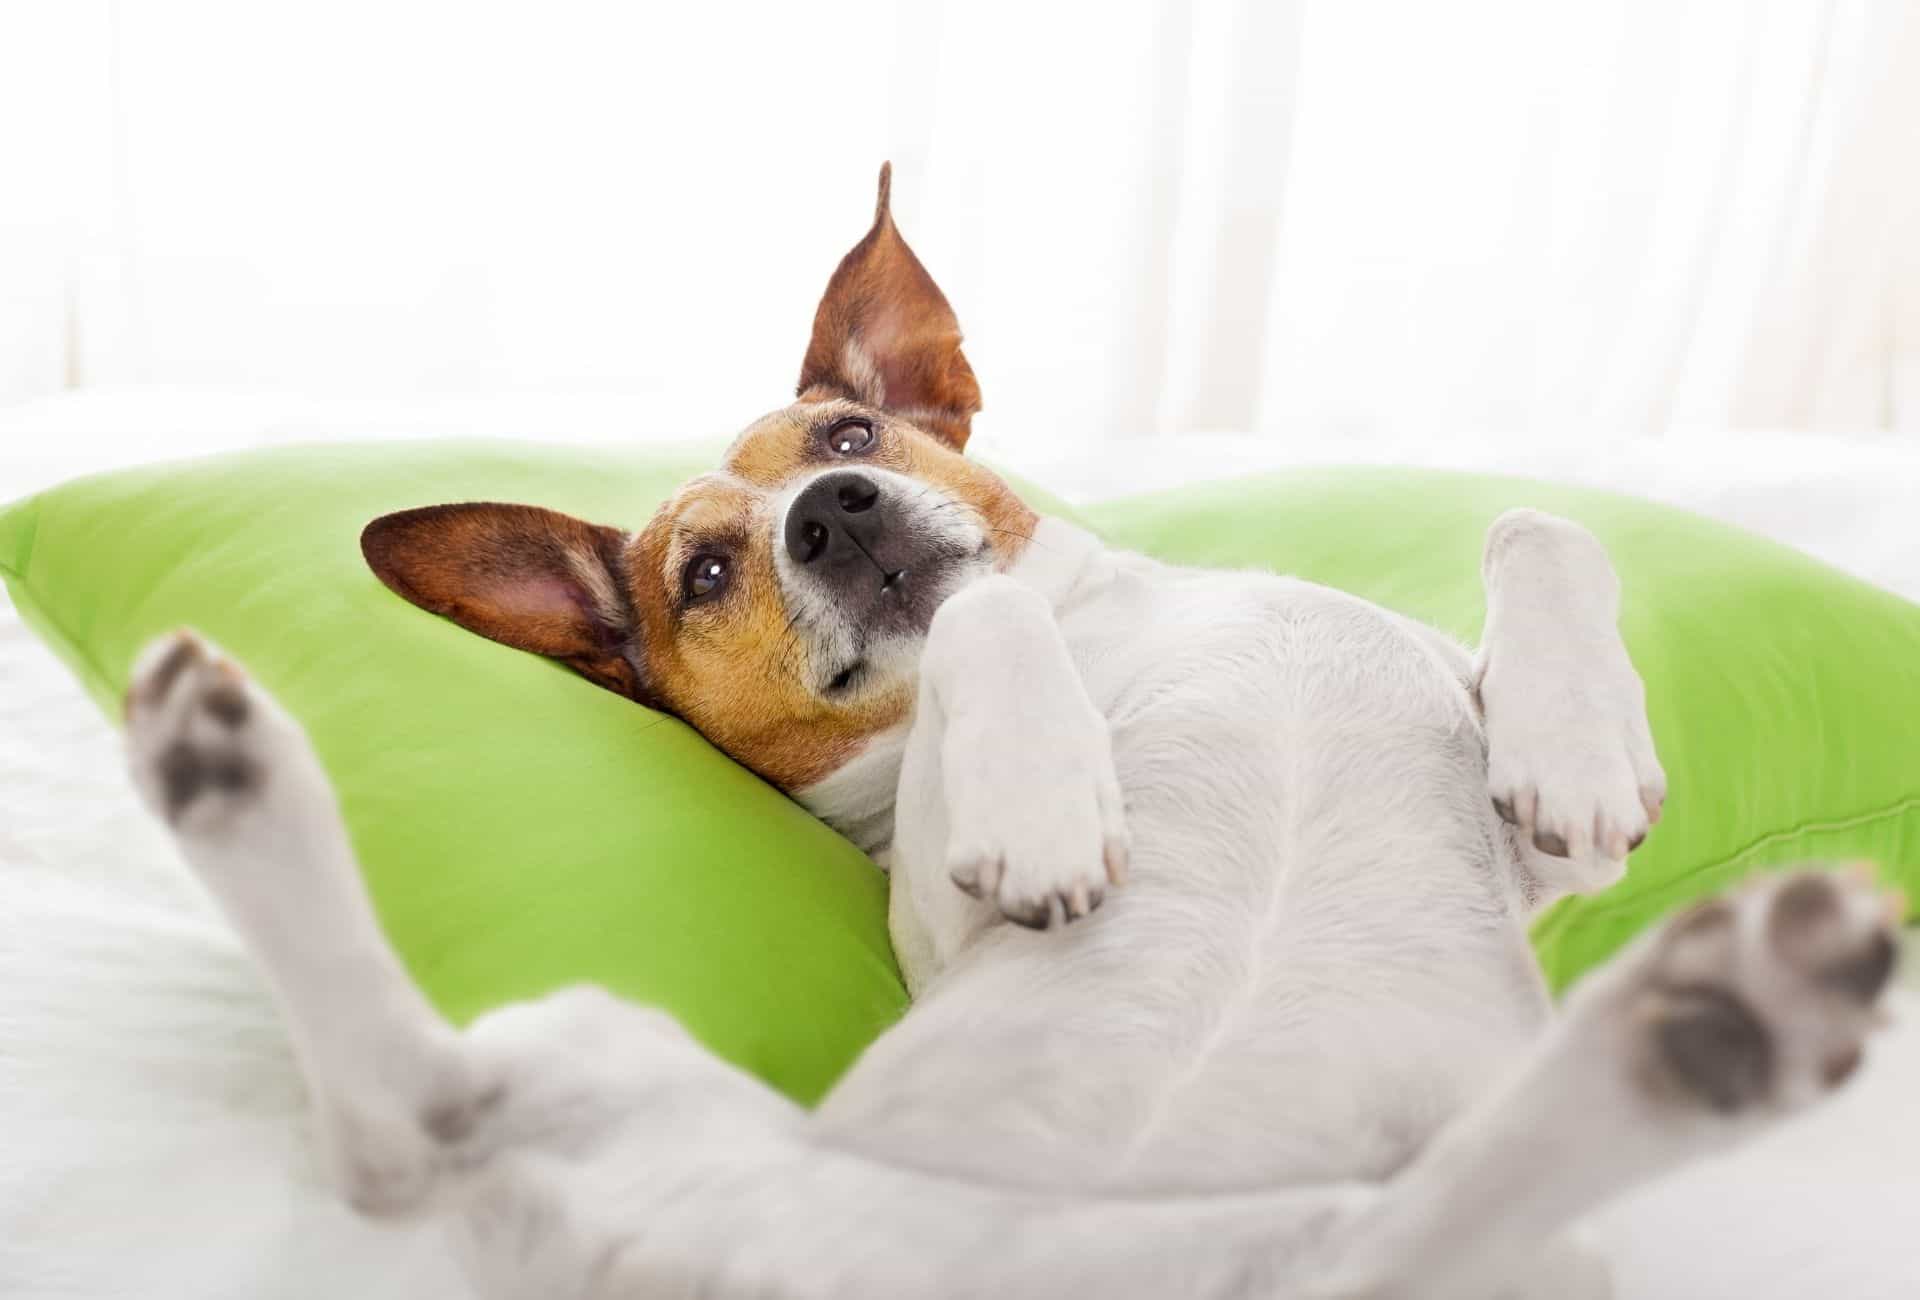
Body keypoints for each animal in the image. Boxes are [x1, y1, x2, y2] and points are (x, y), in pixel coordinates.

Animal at [127, 165, 1896, 1298]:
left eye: (848, 437)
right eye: (705, 573)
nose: (831, 517)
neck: (1110, 632)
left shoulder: (1535, 867)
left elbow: (1545, 524)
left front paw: (1583, 755)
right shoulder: (932, 894)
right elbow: (991, 628)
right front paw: (1050, 809)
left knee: (404, 1121)